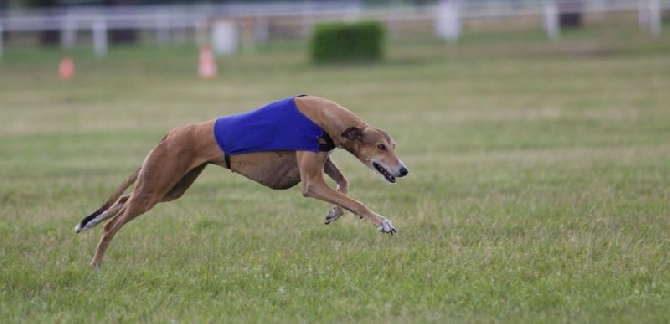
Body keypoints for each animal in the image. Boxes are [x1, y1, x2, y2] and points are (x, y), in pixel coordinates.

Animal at [73, 95, 410, 270]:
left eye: (393, 145)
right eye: (381, 147)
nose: (404, 170)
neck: (321, 115)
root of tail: (170, 134)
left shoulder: (321, 163)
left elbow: (345, 186)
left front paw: (333, 214)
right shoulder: (311, 182)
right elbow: (354, 200)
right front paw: (382, 223)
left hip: (170, 186)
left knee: (120, 201)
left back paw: (90, 224)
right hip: (156, 186)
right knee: (113, 224)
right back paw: (96, 263)